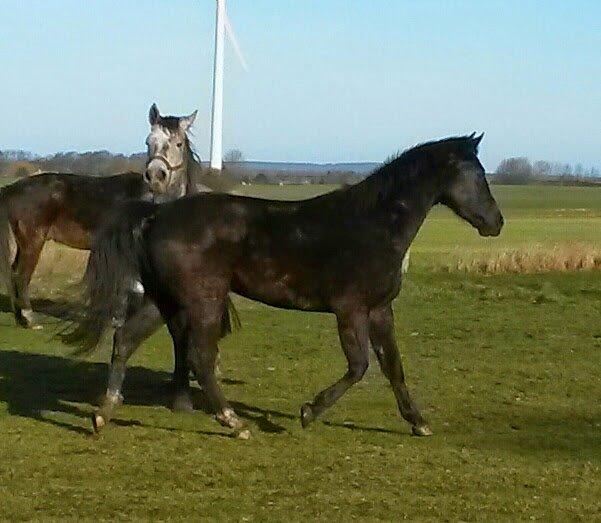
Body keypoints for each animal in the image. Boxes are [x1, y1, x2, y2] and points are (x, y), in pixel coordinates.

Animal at [71, 133, 502, 436]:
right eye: (477, 175)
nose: (495, 223)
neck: (374, 226)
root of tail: (155, 216)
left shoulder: (380, 309)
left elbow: (393, 366)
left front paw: (418, 421)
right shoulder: (350, 309)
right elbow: (359, 366)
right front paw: (309, 412)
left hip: (166, 300)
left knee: (126, 339)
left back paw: (104, 414)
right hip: (202, 300)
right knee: (199, 356)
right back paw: (234, 422)